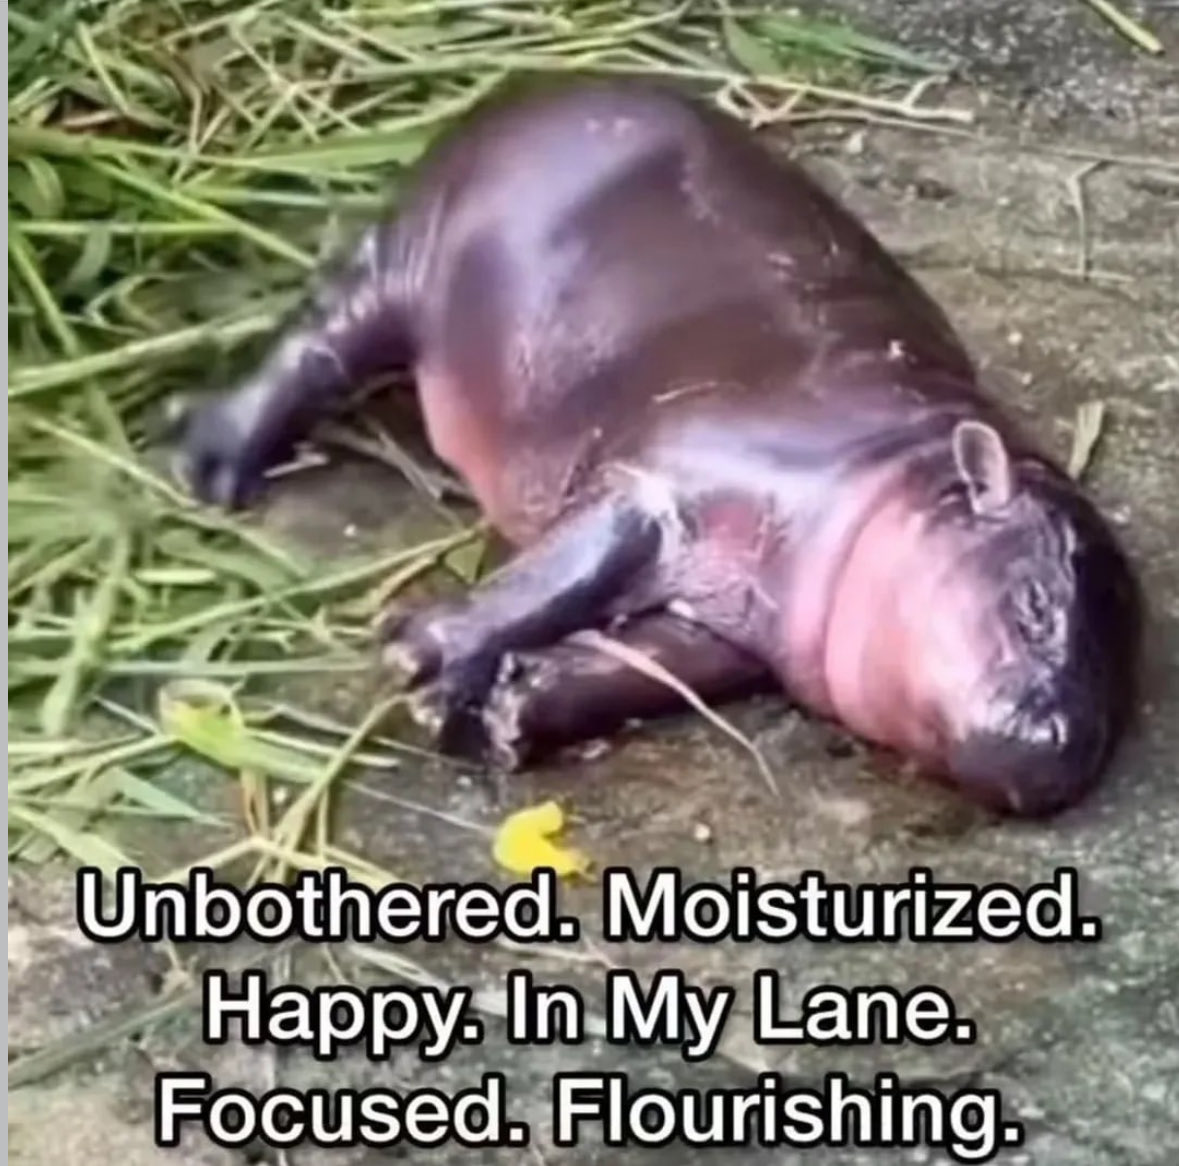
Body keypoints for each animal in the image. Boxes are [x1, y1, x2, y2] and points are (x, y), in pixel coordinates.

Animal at [177, 77, 1142, 816]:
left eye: (1120, 677)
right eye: (1032, 604)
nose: (1059, 744)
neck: (902, 466)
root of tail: (545, 84)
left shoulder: (724, 626)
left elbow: (636, 664)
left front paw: (513, 712)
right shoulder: (656, 482)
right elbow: (556, 577)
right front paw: (423, 662)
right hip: (402, 259)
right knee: (318, 340)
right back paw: (208, 465)